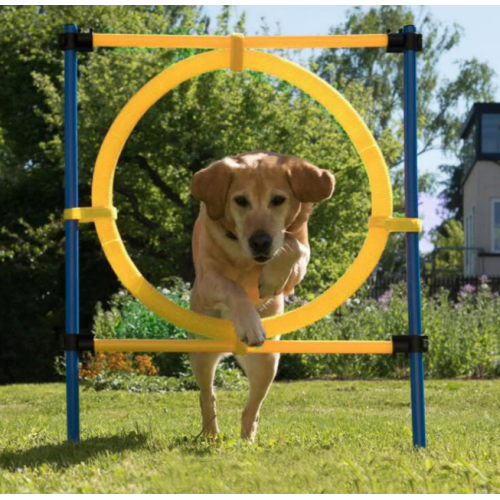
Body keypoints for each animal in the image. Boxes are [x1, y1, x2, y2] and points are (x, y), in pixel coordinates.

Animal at [189, 150, 334, 440]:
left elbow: (293, 246)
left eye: (278, 200)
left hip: (268, 363)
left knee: (252, 408)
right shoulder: (208, 280)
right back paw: (211, 435)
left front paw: (270, 280)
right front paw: (250, 324)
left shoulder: (299, 262)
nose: (260, 242)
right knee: (207, 395)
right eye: (240, 201)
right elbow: (232, 287)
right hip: (202, 354)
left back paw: (246, 440)